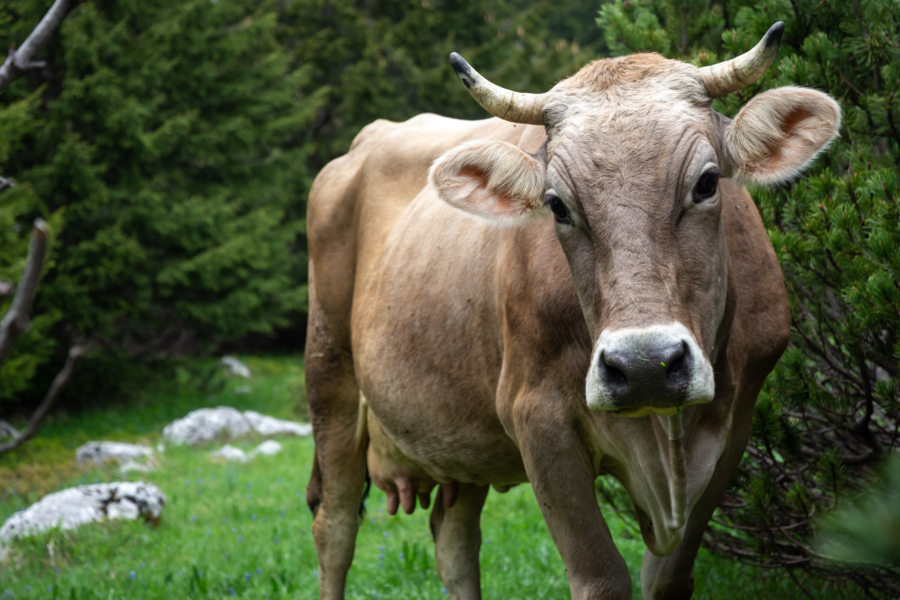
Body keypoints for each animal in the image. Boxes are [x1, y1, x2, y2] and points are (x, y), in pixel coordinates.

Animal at [306, 23, 840, 600]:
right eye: (557, 205)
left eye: (707, 182)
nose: (644, 366)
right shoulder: (538, 419)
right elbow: (600, 577)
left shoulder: (737, 421)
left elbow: (668, 577)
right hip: (329, 375)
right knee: (335, 525)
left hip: (460, 434)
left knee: (454, 541)